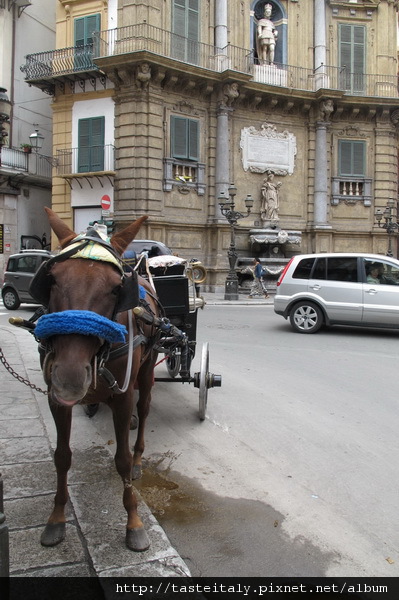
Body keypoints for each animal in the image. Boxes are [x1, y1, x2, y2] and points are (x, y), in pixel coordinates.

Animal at [32, 207, 160, 552]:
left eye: (117, 288)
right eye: (51, 279)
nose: (70, 377)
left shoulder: (123, 395)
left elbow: (122, 460)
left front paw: (134, 523)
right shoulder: (54, 398)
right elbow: (62, 457)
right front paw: (56, 517)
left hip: (148, 367)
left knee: (144, 409)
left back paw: (140, 453)